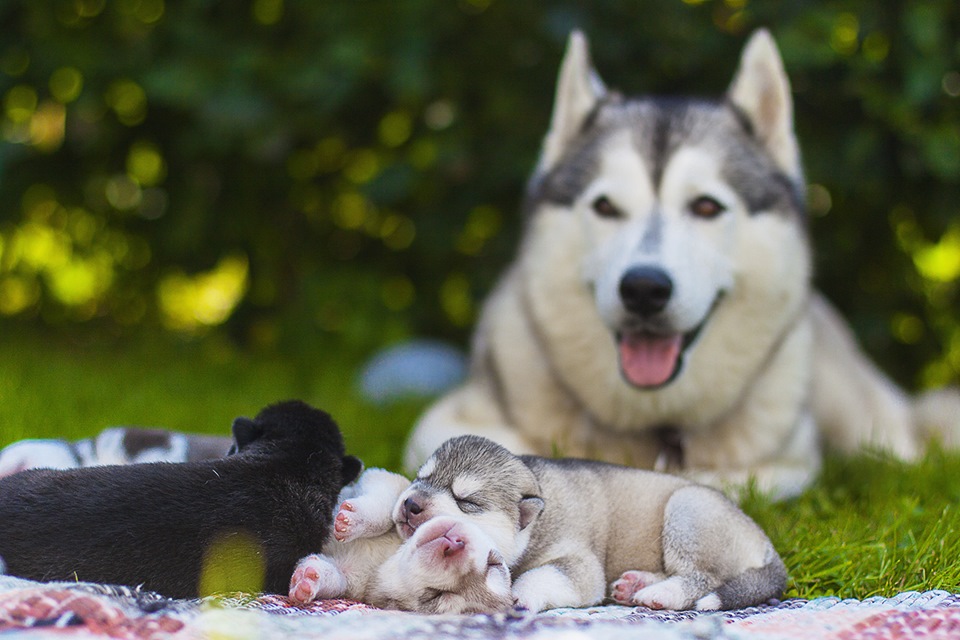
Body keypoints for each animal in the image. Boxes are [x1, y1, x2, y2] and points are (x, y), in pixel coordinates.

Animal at [288, 468, 512, 612]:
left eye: (438, 596)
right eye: (494, 564)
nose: (455, 545)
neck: (386, 558)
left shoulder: (353, 583)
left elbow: (335, 578)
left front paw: (309, 579)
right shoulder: (388, 479)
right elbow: (386, 499)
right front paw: (352, 520)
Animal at [394, 438, 784, 612]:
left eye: (467, 502)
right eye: (420, 478)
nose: (410, 504)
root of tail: (764, 540)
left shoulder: (577, 560)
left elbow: (546, 574)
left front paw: (522, 595)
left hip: (688, 511)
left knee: (706, 577)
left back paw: (661, 593)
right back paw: (636, 584)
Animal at [404, 30, 960, 500]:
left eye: (707, 207)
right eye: (605, 207)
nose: (644, 289)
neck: (657, 425)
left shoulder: (791, 461)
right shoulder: (437, 423)